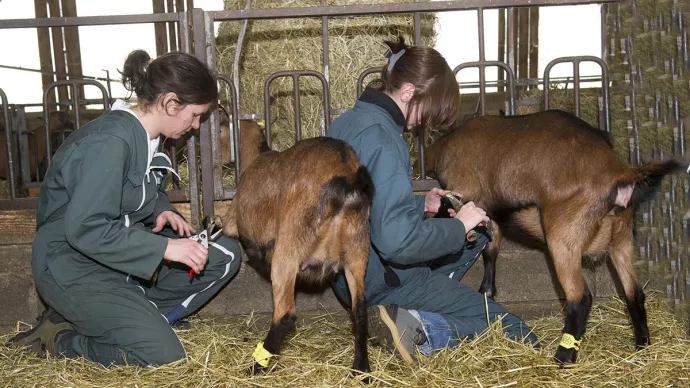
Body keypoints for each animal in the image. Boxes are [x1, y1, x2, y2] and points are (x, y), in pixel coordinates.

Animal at [220, 121, 370, 376]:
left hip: (289, 250)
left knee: (285, 314)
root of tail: (348, 179)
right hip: (357, 251)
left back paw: (257, 367)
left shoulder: (234, 218)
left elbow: (225, 226)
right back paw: (362, 370)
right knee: (359, 309)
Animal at [424, 109, 684, 364]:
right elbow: (491, 250)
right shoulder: (490, 213)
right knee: (634, 292)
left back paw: (563, 357)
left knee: (580, 297)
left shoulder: (466, 192)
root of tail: (620, 173)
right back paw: (641, 348)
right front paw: (486, 293)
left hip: (563, 237)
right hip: (621, 238)